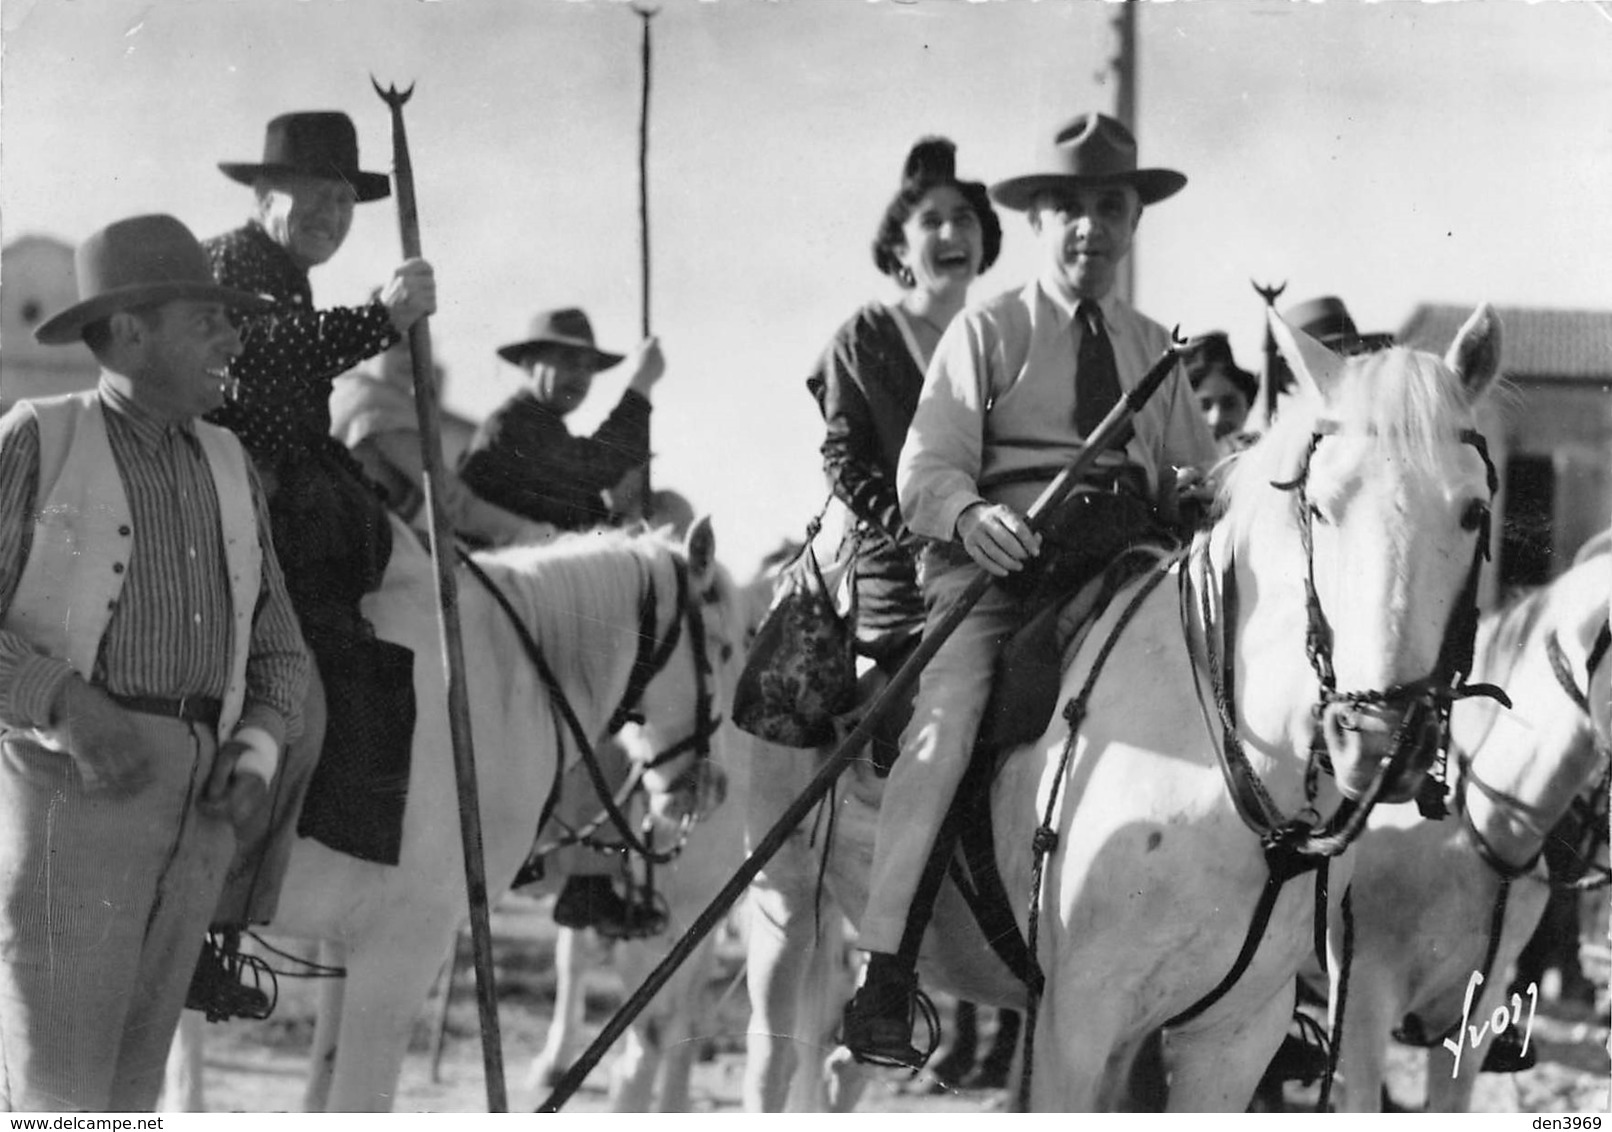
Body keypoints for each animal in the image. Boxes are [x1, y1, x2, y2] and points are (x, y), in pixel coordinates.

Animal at [738, 306, 1495, 1115]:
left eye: (1475, 511)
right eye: (1320, 508)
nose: (1380, 736)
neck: (1225, 756)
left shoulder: (1234, 1038)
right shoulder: (1076, 1023)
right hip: (786, 913)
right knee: (772, 1064)